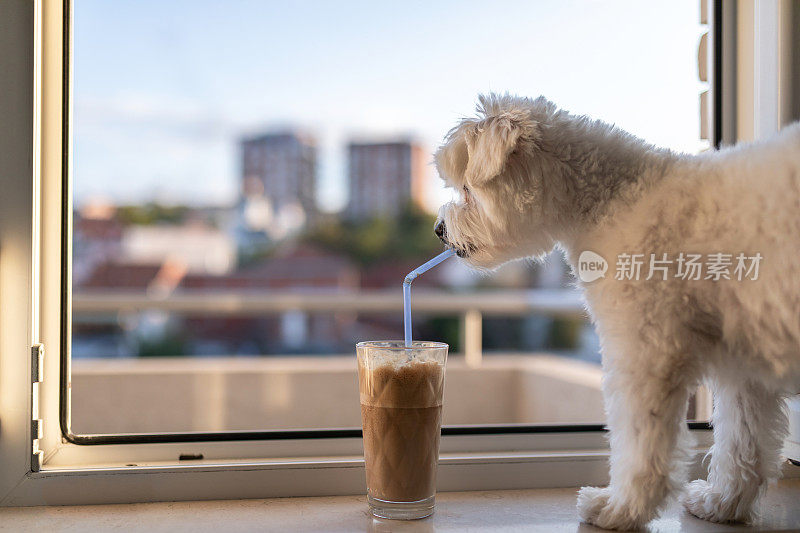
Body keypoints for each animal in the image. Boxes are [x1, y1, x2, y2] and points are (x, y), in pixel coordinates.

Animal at [438, 94, 800, 528]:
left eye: (466, 188)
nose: (438, 229)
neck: (610, 200)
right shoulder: (742, 363)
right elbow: (742, 439)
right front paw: (723, 502)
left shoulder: (644, 350)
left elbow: (639, 438)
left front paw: (619, 508)